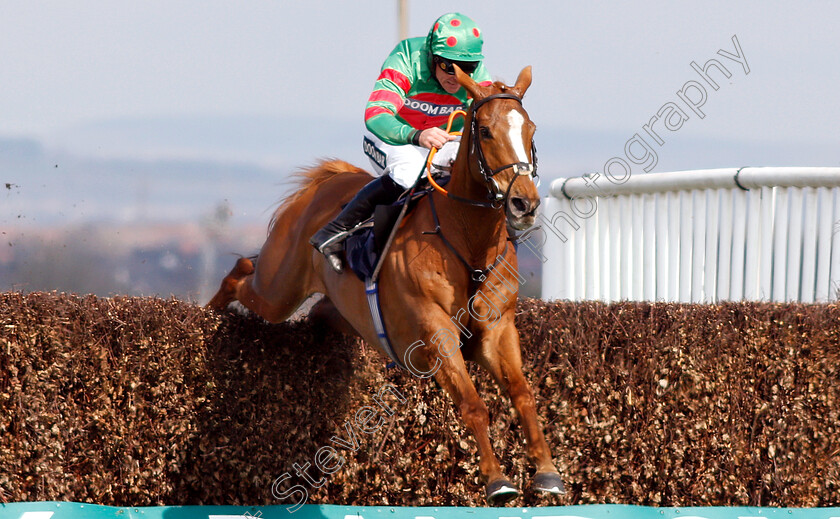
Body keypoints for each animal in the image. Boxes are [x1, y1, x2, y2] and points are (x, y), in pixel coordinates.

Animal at [208, 65, 568, 504]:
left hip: (338, 310)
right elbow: (473, 405)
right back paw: (211, 313)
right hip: (278, 287)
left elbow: (523, 394)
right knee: (243, 270)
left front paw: (548, 471)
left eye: (530, 129)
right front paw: (497, 480)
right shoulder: (436, 330)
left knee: (317, 311)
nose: (524, 203)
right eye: (484, 130)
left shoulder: (498, 328)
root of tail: (328, 183)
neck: (468, 240)